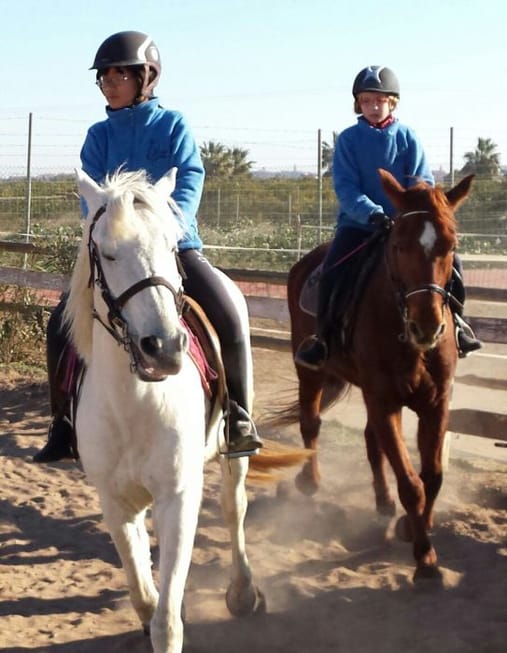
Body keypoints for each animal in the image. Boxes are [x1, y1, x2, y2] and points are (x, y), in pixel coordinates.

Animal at [64, 169, 266, 652]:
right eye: (108, 253)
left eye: (173, 247)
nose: (165, 349)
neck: (134, 403)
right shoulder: (116, 502)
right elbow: (143, 592)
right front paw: (150, 605)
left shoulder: (178, 496)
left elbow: (167, 623)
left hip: (234, 454)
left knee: (234, 508)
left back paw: (243, 591)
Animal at [284, 169, 474, 580]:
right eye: (399, 245)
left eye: (451, 244)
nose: (427, 327)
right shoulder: (385, 400)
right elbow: (412, 484)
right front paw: (425, 560)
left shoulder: (435, 403)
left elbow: (432, 476)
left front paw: (411, 527)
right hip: (310, 370)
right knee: (311, 422)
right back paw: (310, 481)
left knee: (372, 444)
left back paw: (384, 503)